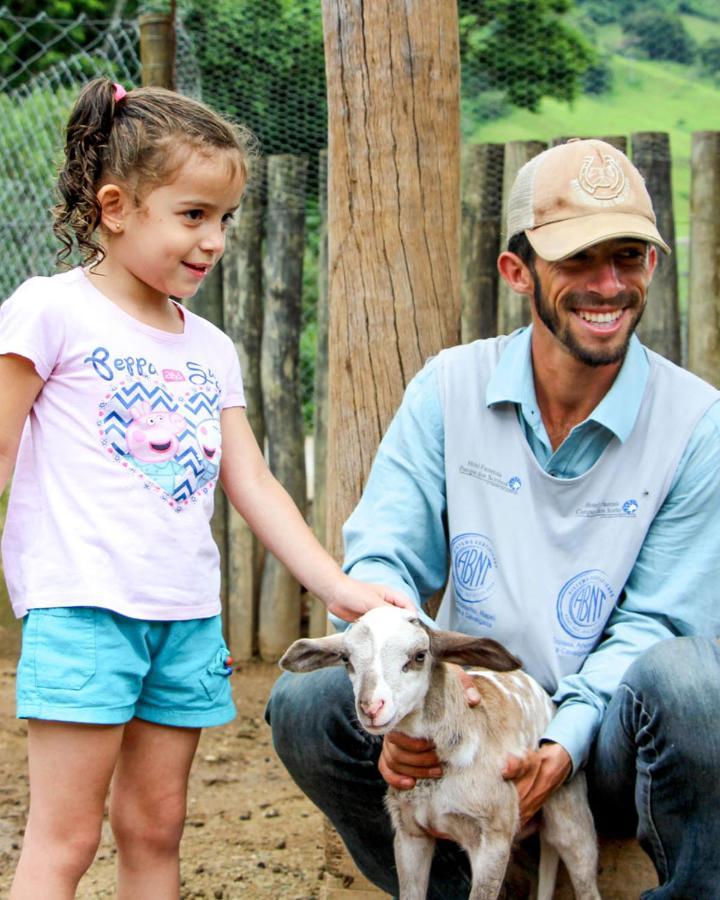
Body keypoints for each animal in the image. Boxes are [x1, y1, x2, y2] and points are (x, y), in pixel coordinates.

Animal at [282, 604, 600, 900]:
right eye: (347, 660)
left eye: (419, 656)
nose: (371, 707)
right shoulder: (410, 832)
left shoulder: (494, 834)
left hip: (570, 812)